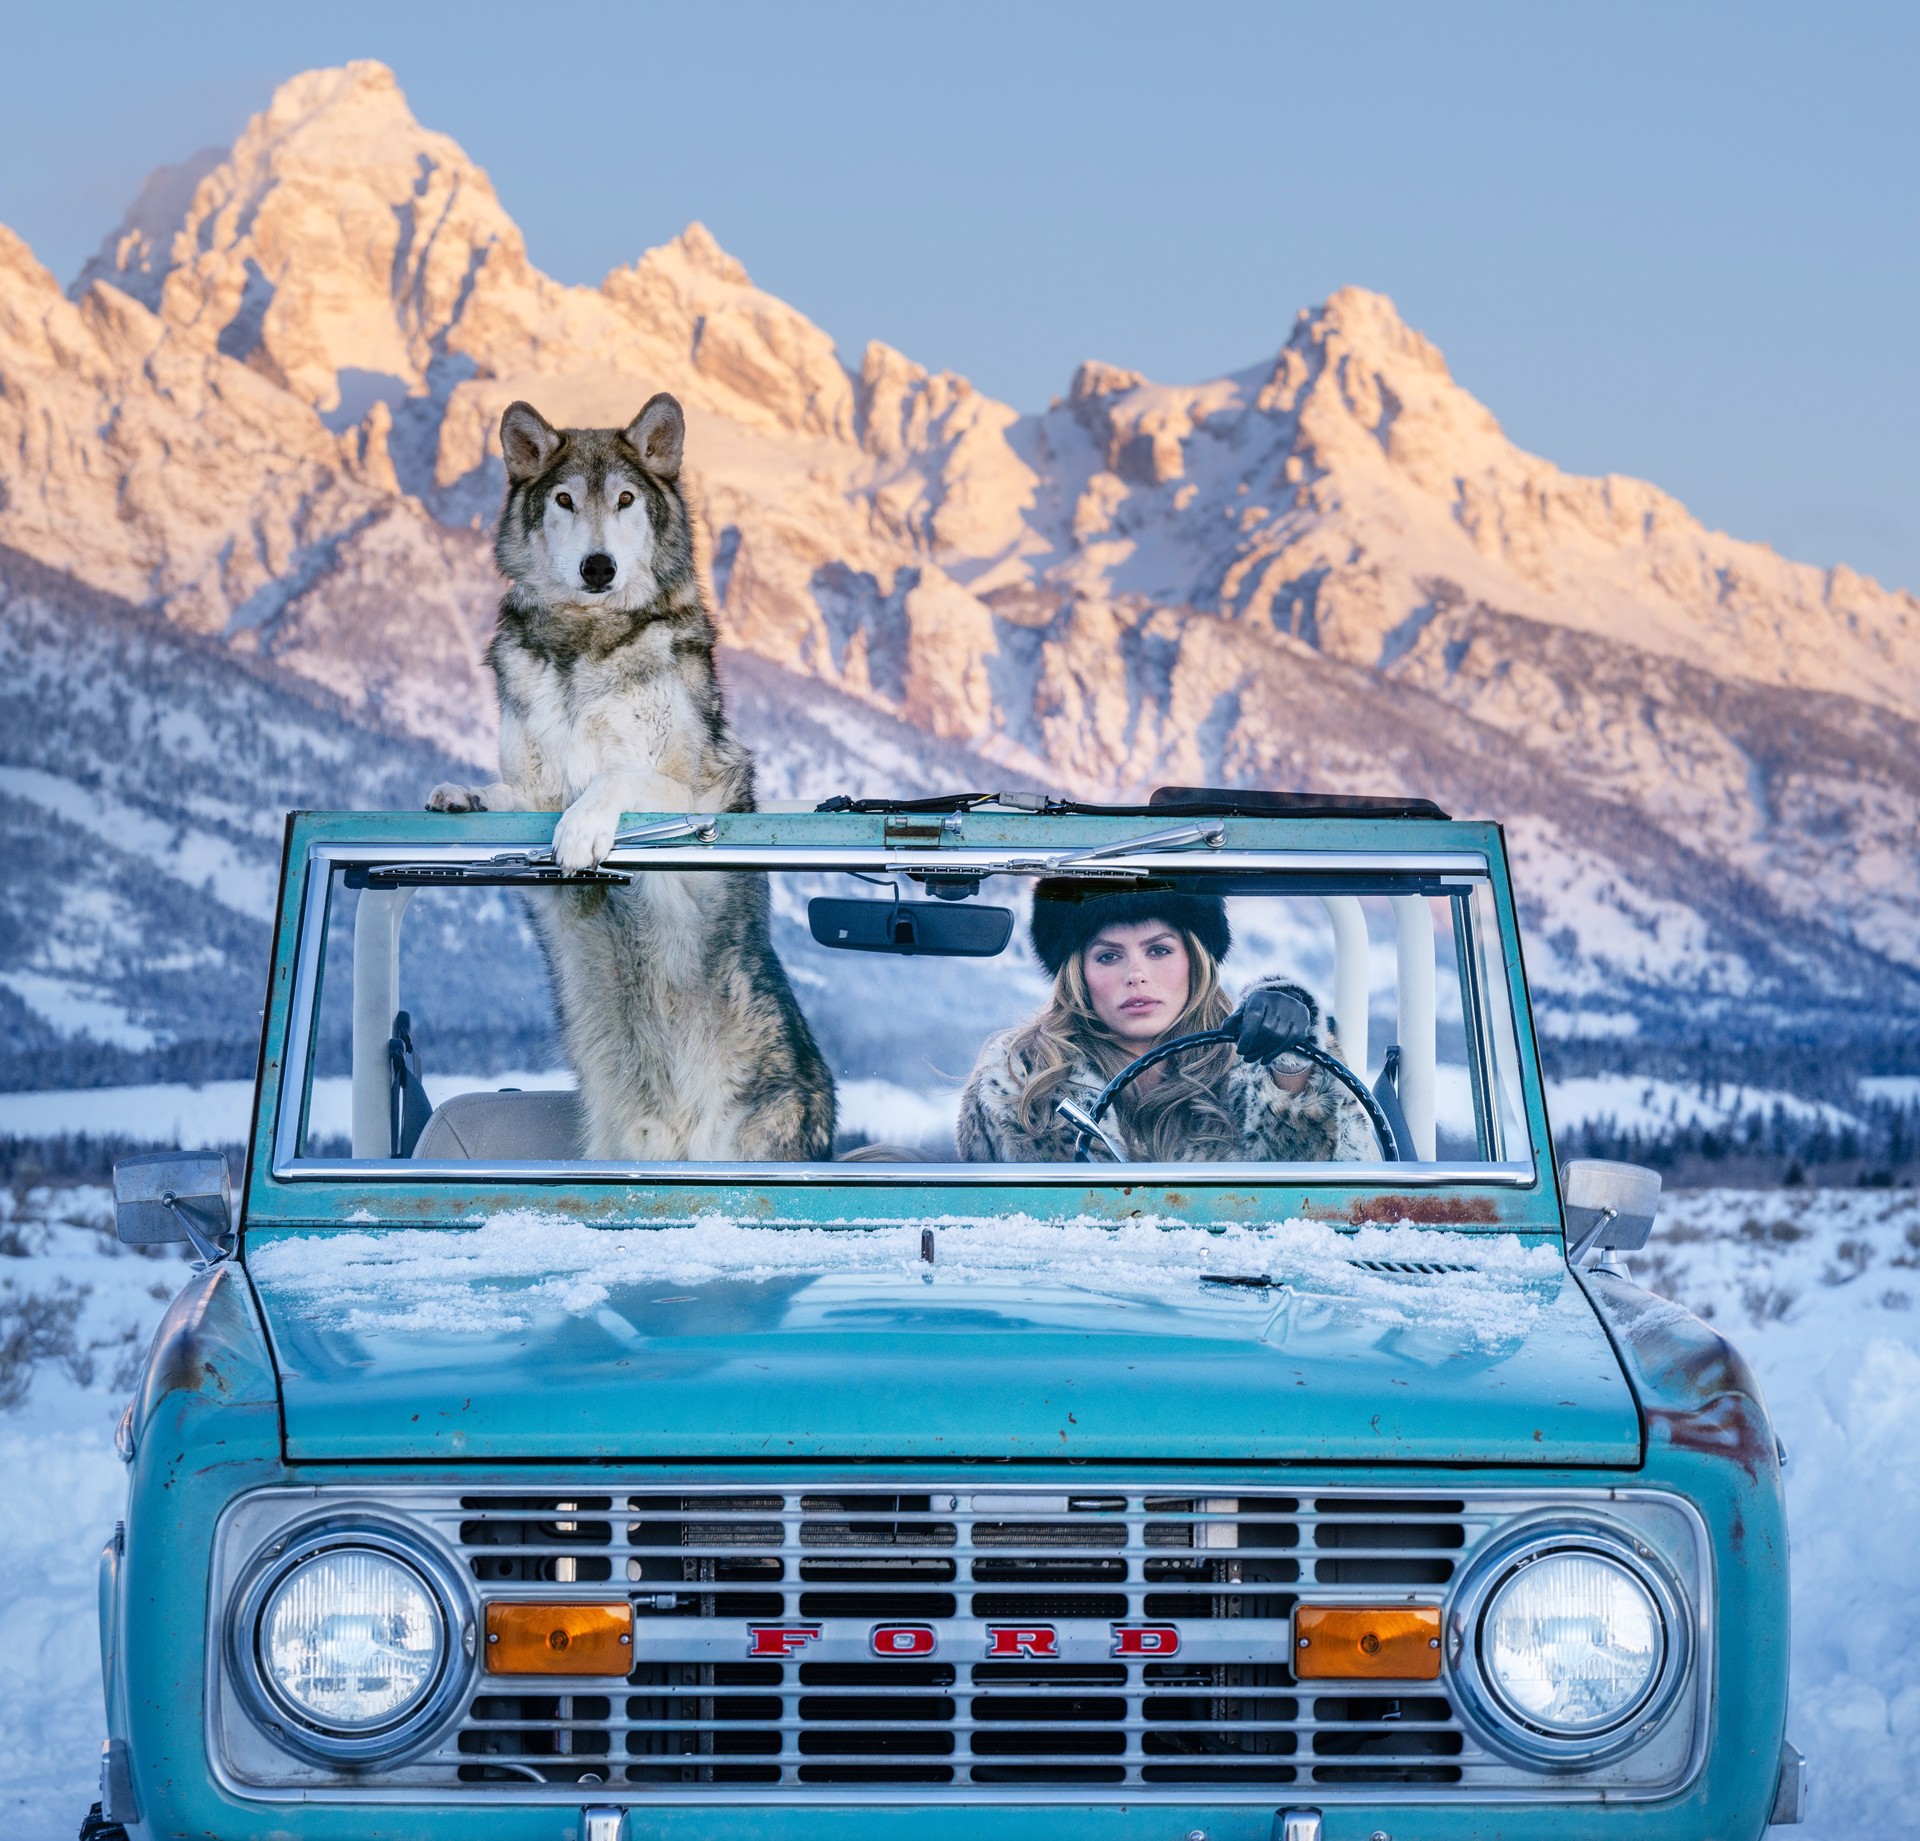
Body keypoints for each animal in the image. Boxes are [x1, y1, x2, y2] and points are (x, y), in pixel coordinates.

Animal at [432, 395, 837, 1159]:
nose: (598, 567)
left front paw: (581, 833)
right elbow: (510, 792)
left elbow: (613, 782)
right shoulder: (534, 787)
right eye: (564, 500)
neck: (585, 647)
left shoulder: (698, 786)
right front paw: (458, 792)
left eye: (624, 499)